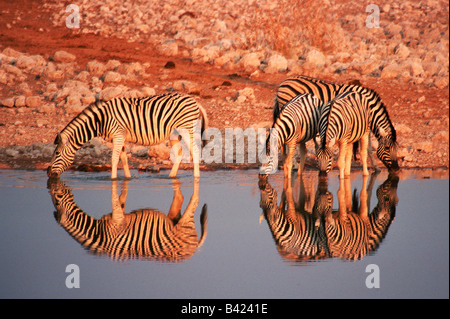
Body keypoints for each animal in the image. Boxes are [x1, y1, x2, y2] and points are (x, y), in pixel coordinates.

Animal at [46, 94, 208, 181]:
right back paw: (171, 176)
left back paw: (196, 178)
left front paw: (112, 179)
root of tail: (194, 101)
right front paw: (127, 178)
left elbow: (114, 158)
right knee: (179, 153)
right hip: (174, 133)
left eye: (57, 153)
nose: (48, 174)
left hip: (186, 128)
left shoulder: (118, 134)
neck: (101, 120)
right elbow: (123, 158)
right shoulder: (119, 136)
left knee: (194, 150)